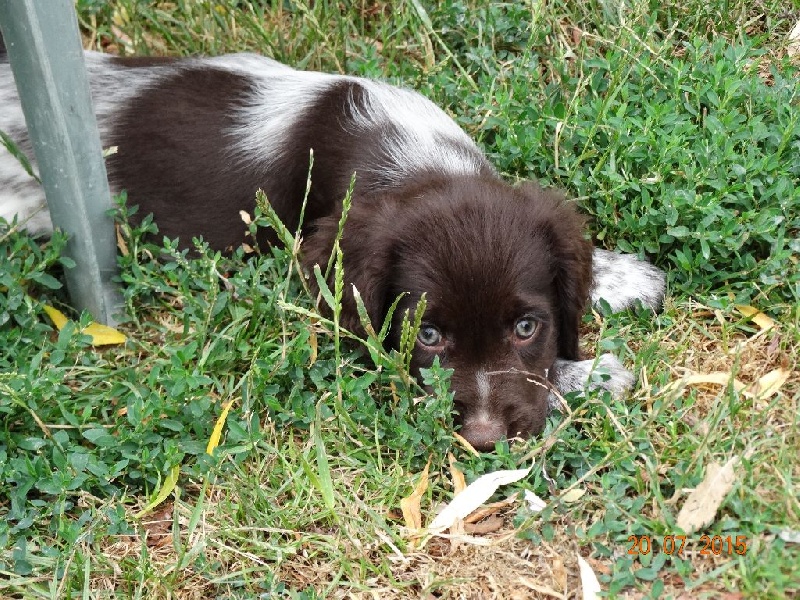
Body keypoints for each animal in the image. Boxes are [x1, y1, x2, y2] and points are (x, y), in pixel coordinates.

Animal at [0, 42, 664, 450]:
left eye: (528, 327)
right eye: (426, 335)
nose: (481, 439)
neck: (413, 158)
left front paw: (621, 279)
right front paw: (594, 374)